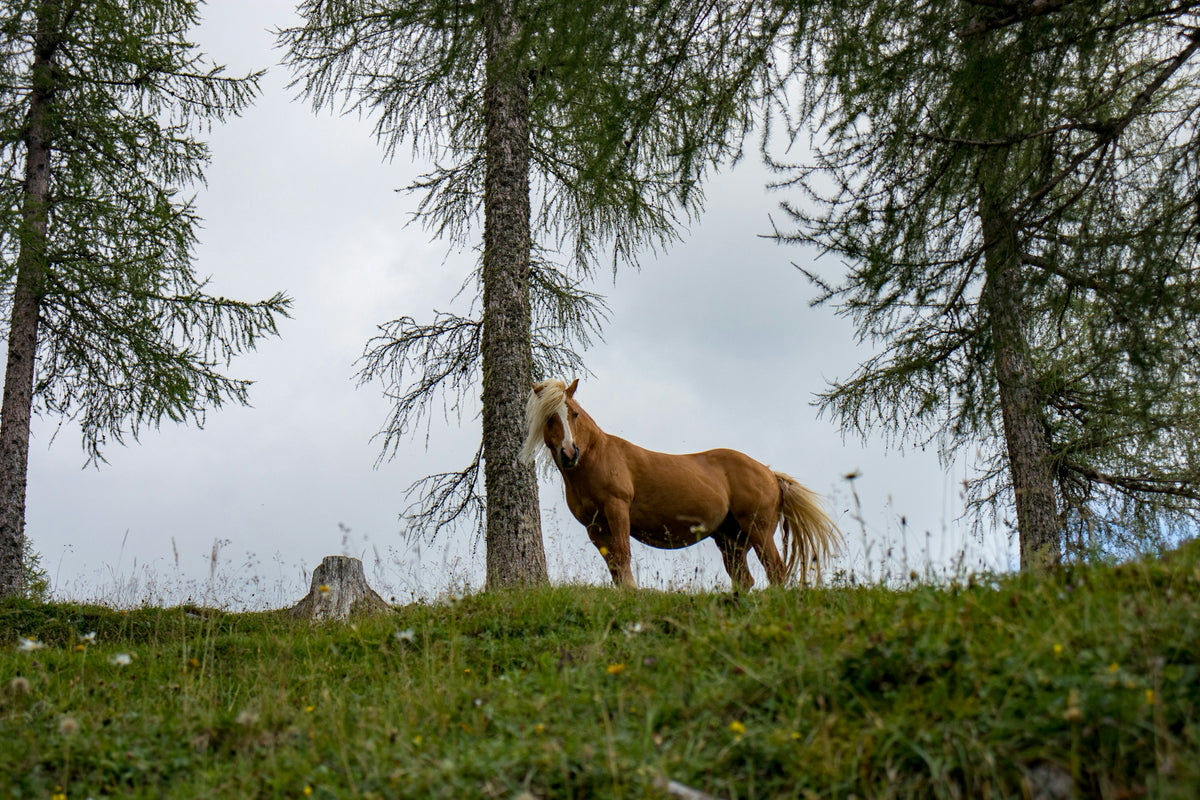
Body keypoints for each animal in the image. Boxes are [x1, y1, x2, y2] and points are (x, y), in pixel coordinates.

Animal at [520, 378, 841, 589]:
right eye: (549, 419)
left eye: (573, 414)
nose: (569, 453)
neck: (597, 458)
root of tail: (770, 473)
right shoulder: (593, 525)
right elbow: (613, 565)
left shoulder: (617, 510)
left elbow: (623, 555)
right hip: (731, 540)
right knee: (744, 578)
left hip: (758, 530)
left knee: (776, 571)